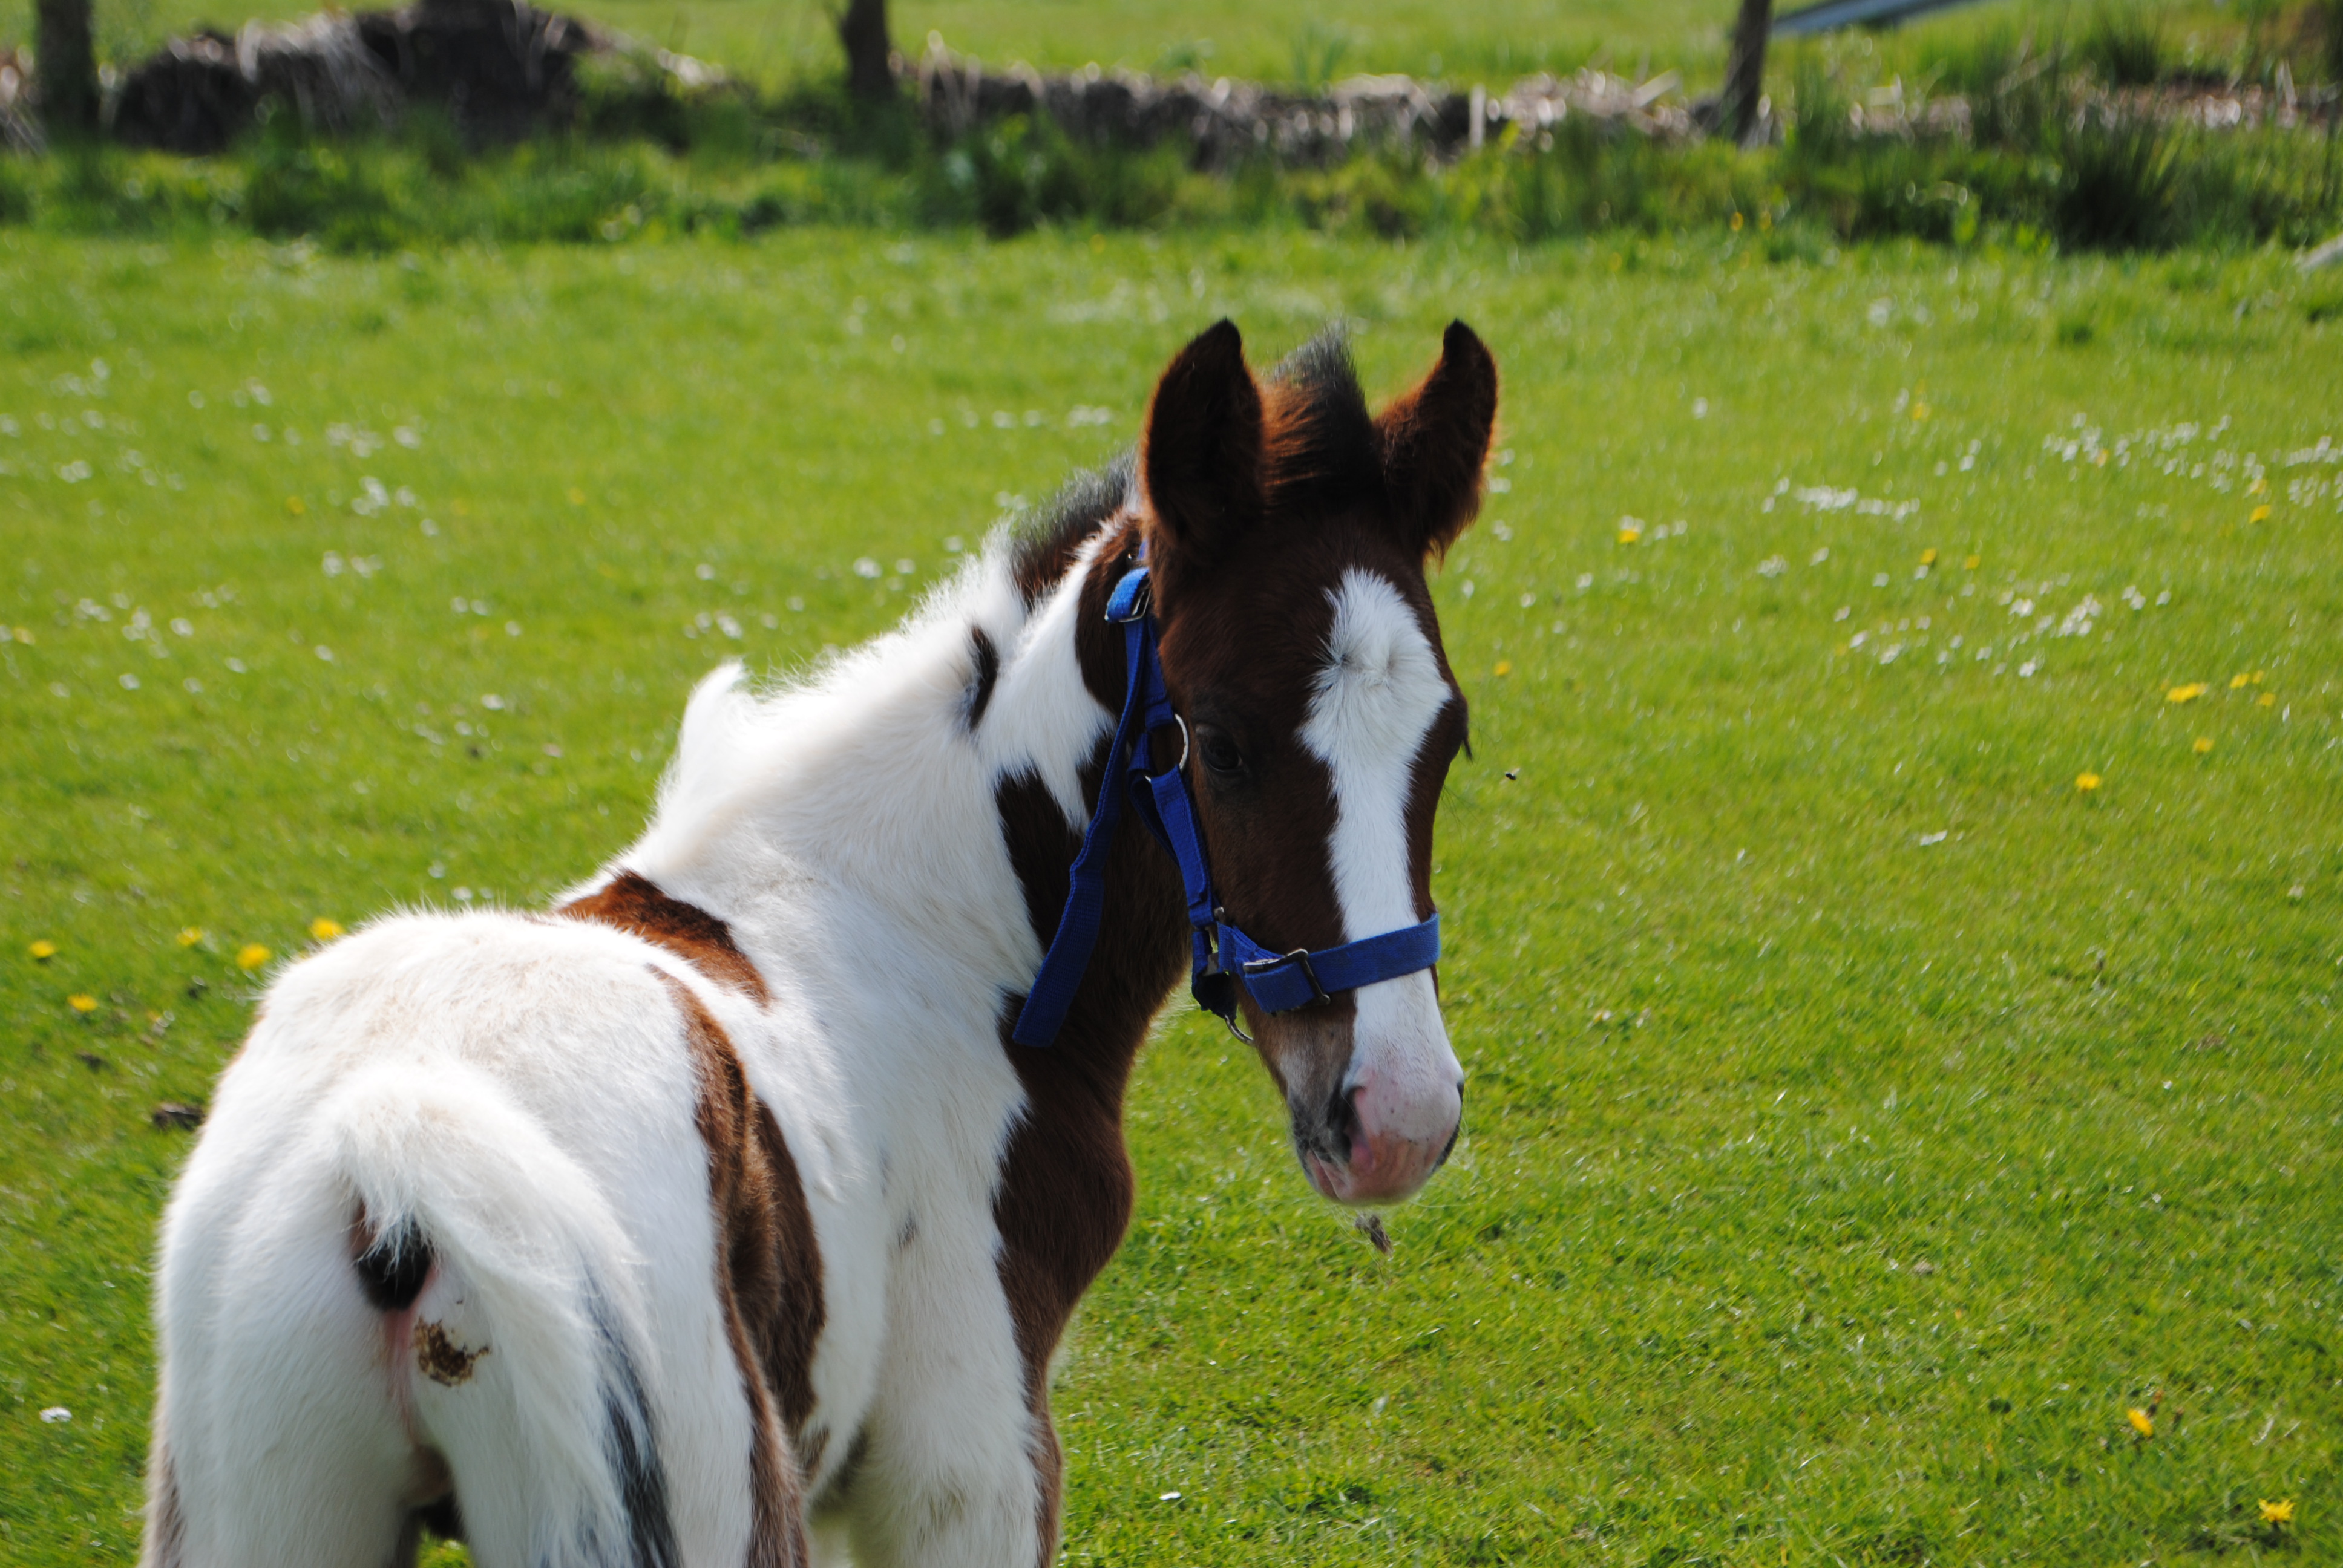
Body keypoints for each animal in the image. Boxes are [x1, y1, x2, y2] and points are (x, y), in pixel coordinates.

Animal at [146, 318, 1499, 1566]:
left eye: (1450, 742)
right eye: (1215, 740)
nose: (1398, 1119)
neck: (926, 927)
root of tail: (394, 1155)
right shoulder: (967, 1463)